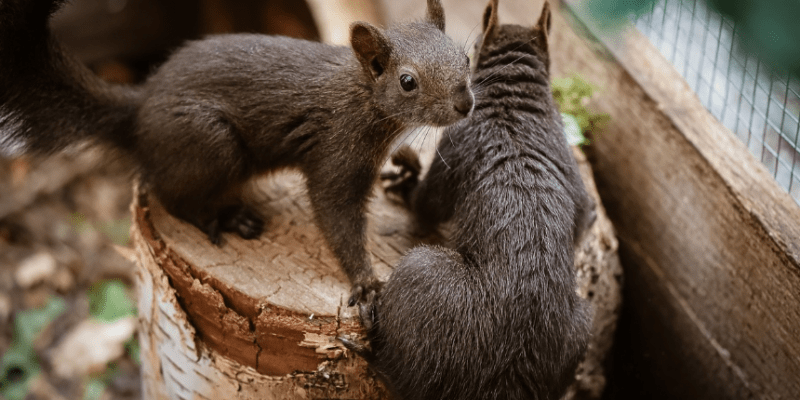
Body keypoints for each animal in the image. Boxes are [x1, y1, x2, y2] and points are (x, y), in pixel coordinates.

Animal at [0, 0, 476, 304]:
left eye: (466, 58)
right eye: (407, 81)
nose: (465, 103)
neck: (362, 96)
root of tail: (138, 111)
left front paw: (406, 164)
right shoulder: (336, 150)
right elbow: (336, 215)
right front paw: (366, 283)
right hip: (212, 143)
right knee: (169, 194)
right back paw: (225, 217)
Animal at [350, 1, 592, 398]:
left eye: (470, 55)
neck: (517, 102)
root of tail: (507, 377)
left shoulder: (458, 142)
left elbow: (427, 203)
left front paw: (408, 182)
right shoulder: (571, 167)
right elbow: (585, 219)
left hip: (421, 274)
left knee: (405, 380)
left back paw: (373, 339)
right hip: (582, 328)